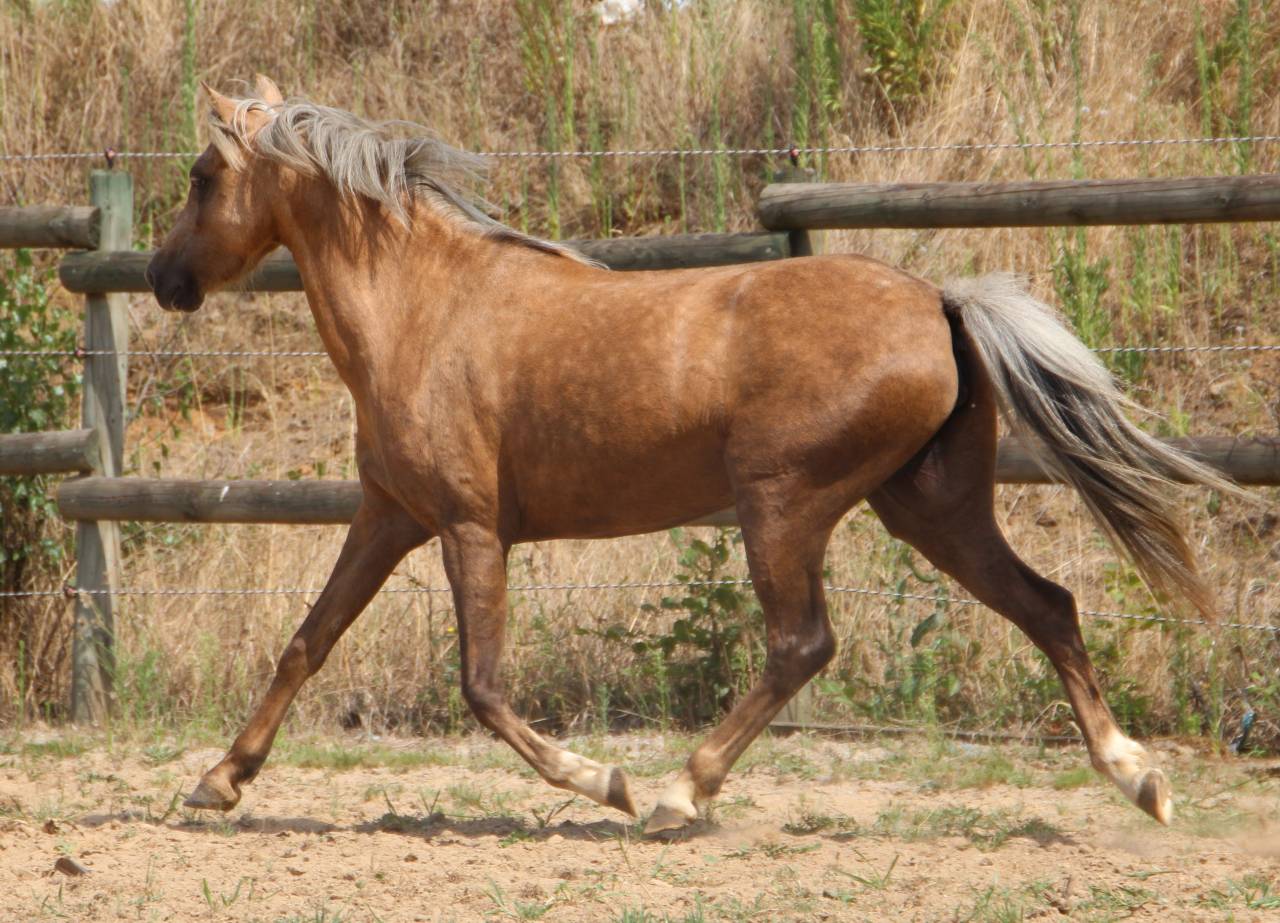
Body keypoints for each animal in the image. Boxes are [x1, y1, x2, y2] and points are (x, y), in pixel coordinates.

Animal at [148, 75, 1236, 833]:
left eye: (203, 178)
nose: (163, 277)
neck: (422, 308)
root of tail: (940, 301)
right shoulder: (386, 516)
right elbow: (307, 641)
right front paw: (217, 780)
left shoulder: (466, 526)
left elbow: (482, 685)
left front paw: (606, 780)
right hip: (930, 507)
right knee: (1046, 603)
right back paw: (1138, 777)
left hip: (784, 503)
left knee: (803, 642)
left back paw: (680, 789)